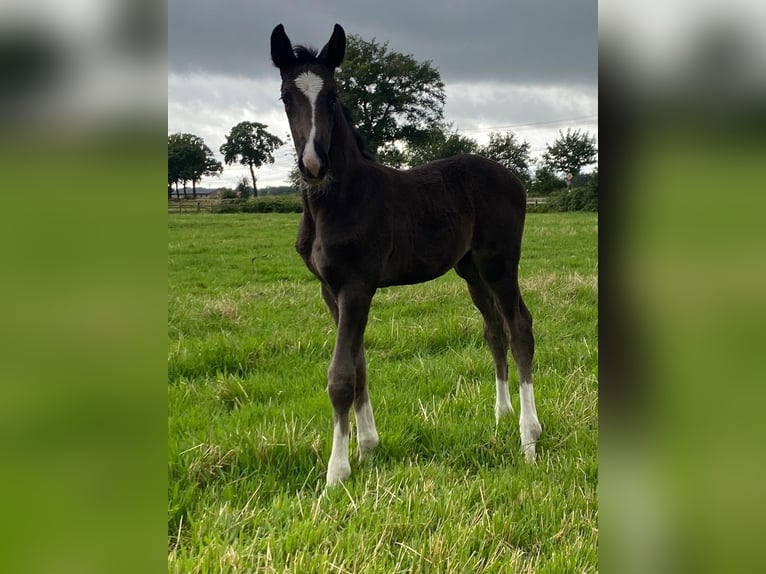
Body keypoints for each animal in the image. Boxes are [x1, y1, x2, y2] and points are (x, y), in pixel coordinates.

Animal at [272, 23, 544, 486]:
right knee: (494, 330)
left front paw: (337, 472)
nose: (313, 164)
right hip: (470, 269)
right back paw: (502, 414)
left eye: (332, 96)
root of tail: (513, 177)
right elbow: (359, 365)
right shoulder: (330, 290)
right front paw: (367, 448)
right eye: (287, 96)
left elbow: (341, 375)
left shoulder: (357, 287)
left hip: (499, 263)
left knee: (520, 328)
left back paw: (529, 437)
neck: (340, 200)